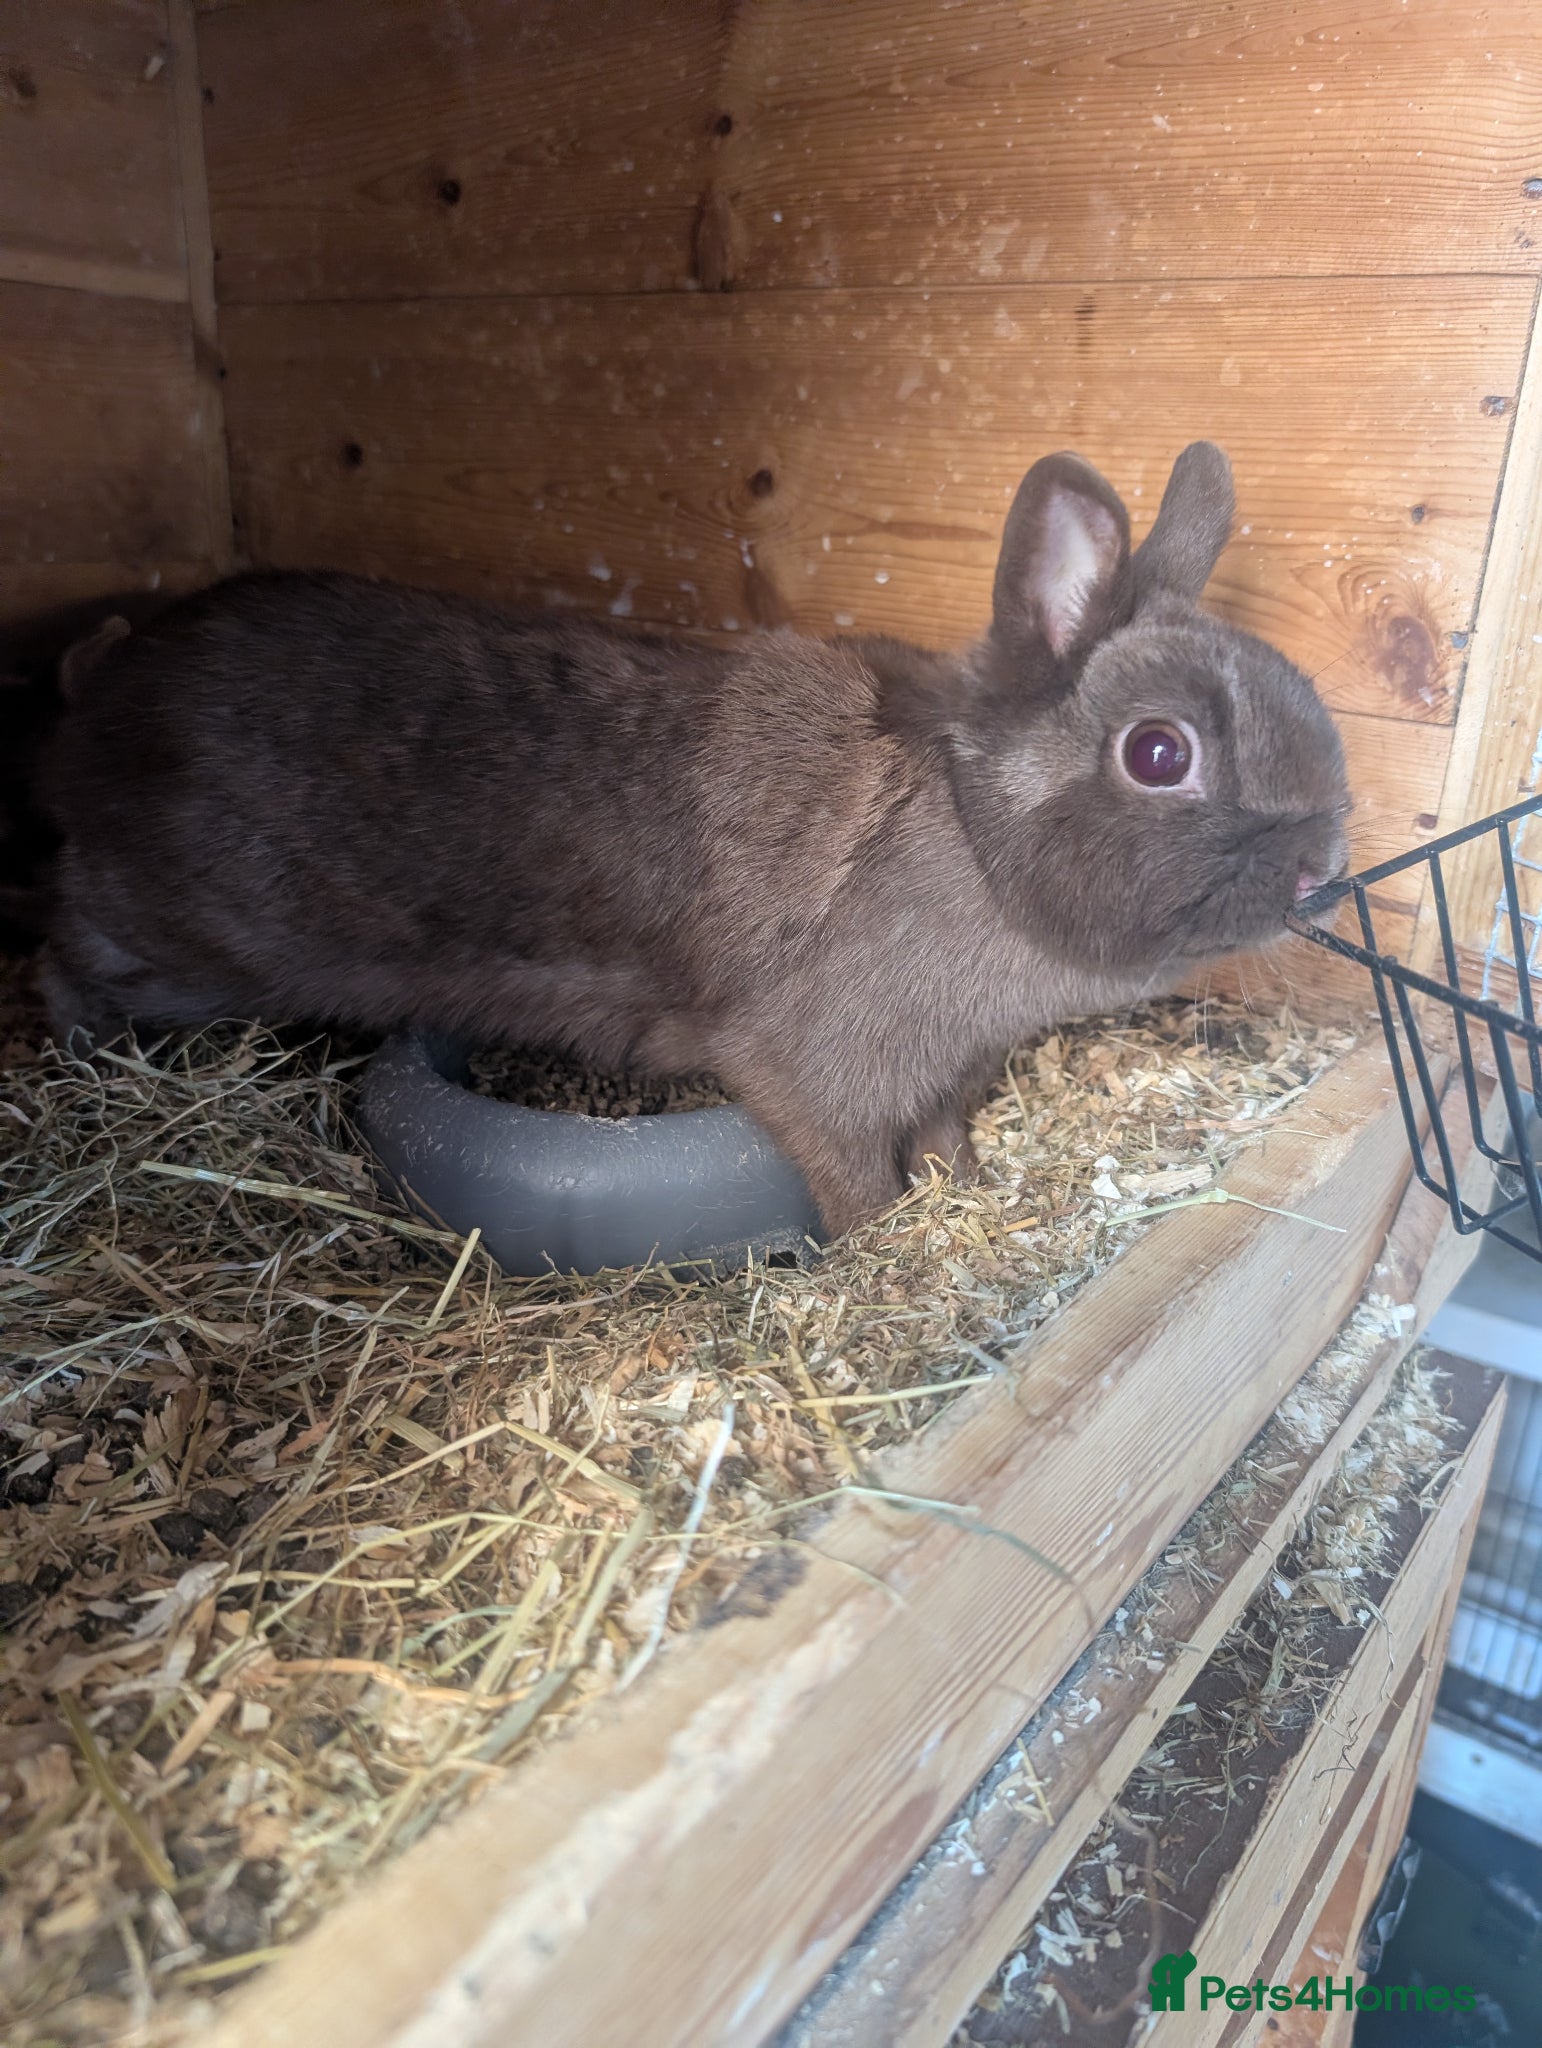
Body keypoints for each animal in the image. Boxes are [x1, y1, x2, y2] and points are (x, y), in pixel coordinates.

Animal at [39, 441, 1350, 1239]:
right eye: (1160, 753)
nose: (1322, 872)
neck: (974, 838)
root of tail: (97, 700)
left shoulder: (941, 1075)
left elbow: (940, 1141)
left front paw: (966, 1194)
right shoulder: (816, 1071)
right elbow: (856, 1174)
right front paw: (888, 1245)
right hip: (167, 936)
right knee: (67, 953)